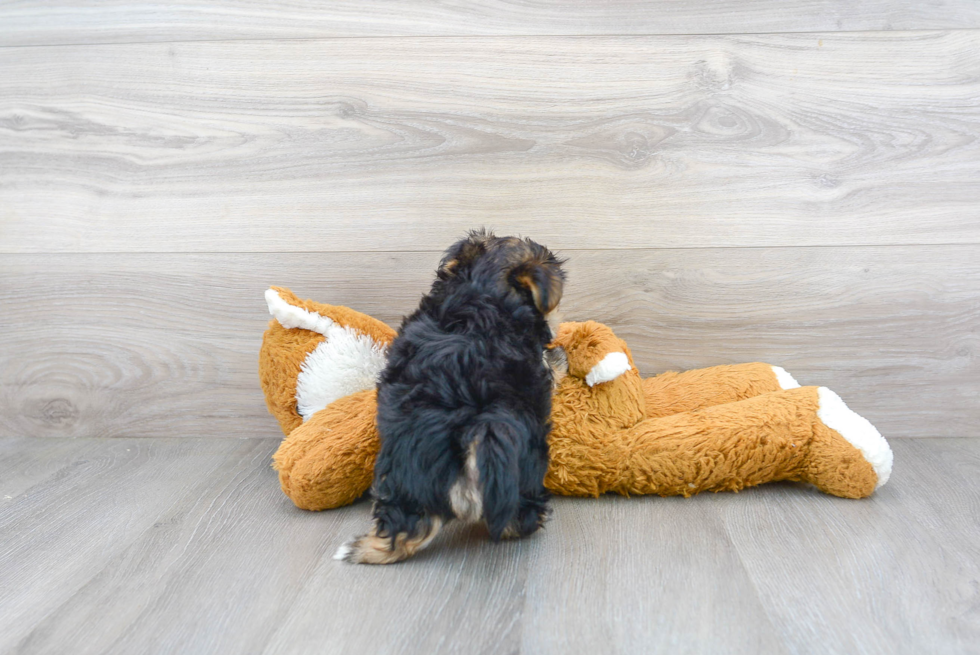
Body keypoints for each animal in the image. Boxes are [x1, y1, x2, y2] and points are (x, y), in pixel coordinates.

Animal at [336, 231, 568, 564]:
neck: (481, 293)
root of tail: (475, 422)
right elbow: (551, 364)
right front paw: (562, 357)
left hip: (404, 477)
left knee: (404, 525)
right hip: (527, 457)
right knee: (521, 508)